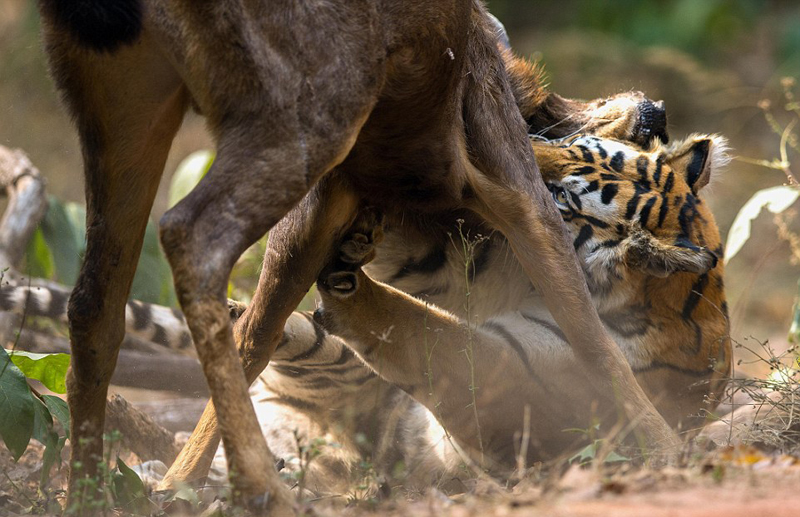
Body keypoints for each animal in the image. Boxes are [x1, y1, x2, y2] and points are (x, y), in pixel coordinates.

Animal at [1, 132, 731, 498]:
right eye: (576, 147)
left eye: (563, 194)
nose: (507, 159)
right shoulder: (473, 265)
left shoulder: (518, 372)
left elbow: (425, 328)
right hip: (308, 358)